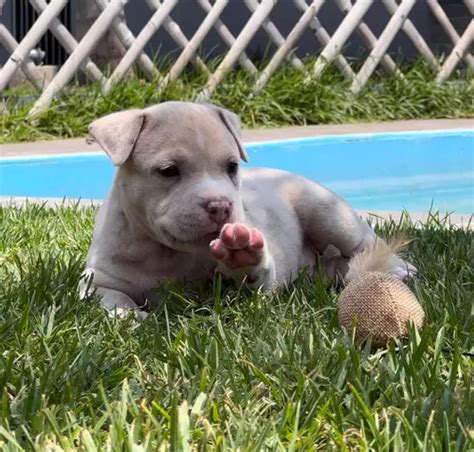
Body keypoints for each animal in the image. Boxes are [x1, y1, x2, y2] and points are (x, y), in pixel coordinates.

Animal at [85, 100, 414, 316]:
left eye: (231, 167)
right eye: (168, 171)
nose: (220, 206)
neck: (165, 253)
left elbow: (251, 280)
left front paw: (242, 256)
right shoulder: (96, 281)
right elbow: (110, 300)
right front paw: (128, 315)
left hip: (329, 212)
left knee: (365, 244)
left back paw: (399, 268)